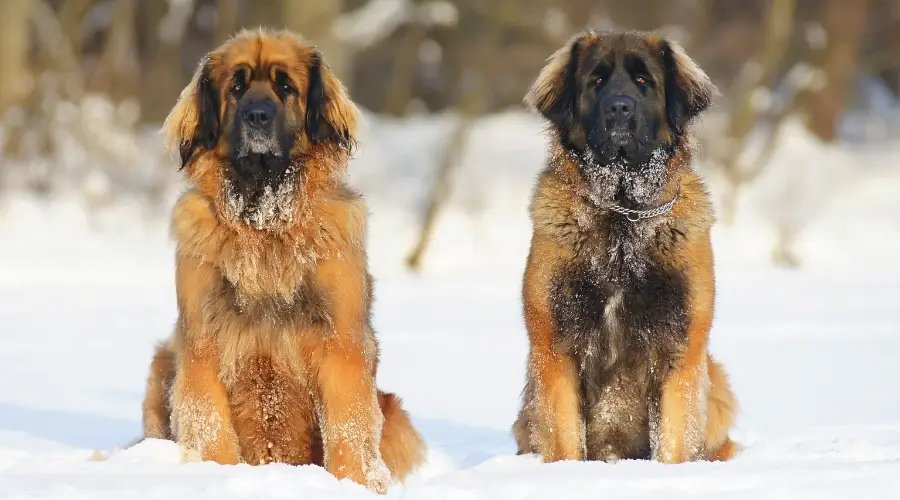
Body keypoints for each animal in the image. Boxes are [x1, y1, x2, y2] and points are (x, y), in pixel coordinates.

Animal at [510, 31, 740, 464]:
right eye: (596, 81)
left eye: (643, 81)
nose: (619, 108)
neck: (623, 219)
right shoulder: (555, 349)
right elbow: (565, 439)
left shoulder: (679, 349)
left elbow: (674, 440)